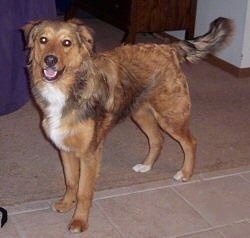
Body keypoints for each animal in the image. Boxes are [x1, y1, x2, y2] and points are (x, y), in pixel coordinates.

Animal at [23, 18, 232, 232]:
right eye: (43, 40)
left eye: (67, 43)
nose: (50, 60)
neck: (68, 89)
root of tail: (169, 47)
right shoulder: (64, 147)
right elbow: (71, 181)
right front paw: (66, 204)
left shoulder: (89, 153)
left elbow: (83, 191)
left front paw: (80, 221)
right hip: (140, 113)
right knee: (157, 139)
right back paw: (146, 166)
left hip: (171, 116)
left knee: (190, 142)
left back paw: (185, 173)